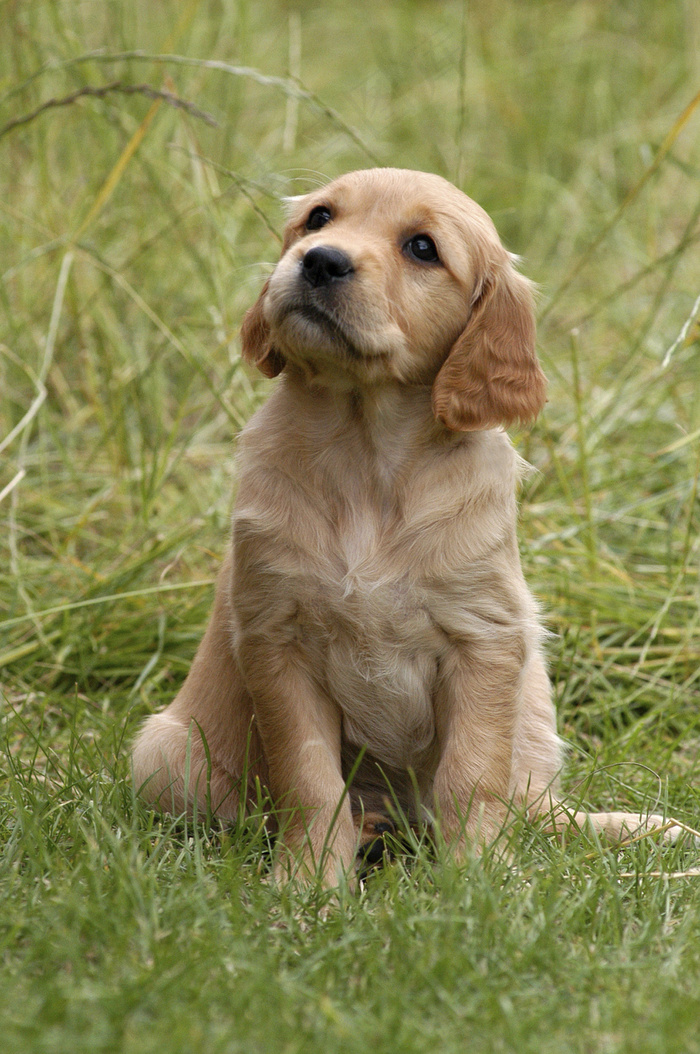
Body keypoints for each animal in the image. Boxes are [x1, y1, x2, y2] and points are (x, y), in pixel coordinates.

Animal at [132, 168, 683, 885]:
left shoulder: (485, 638)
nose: (321, 260)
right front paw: (307, 883)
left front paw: (480, 881)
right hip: (165, 756)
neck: (366, 452)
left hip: (532, 702)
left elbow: (473, 777)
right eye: (319, 218)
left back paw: (640, 830)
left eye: (423, 248)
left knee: (536, 807)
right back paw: (367, 833)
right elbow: (309, 779)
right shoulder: (277, 638)